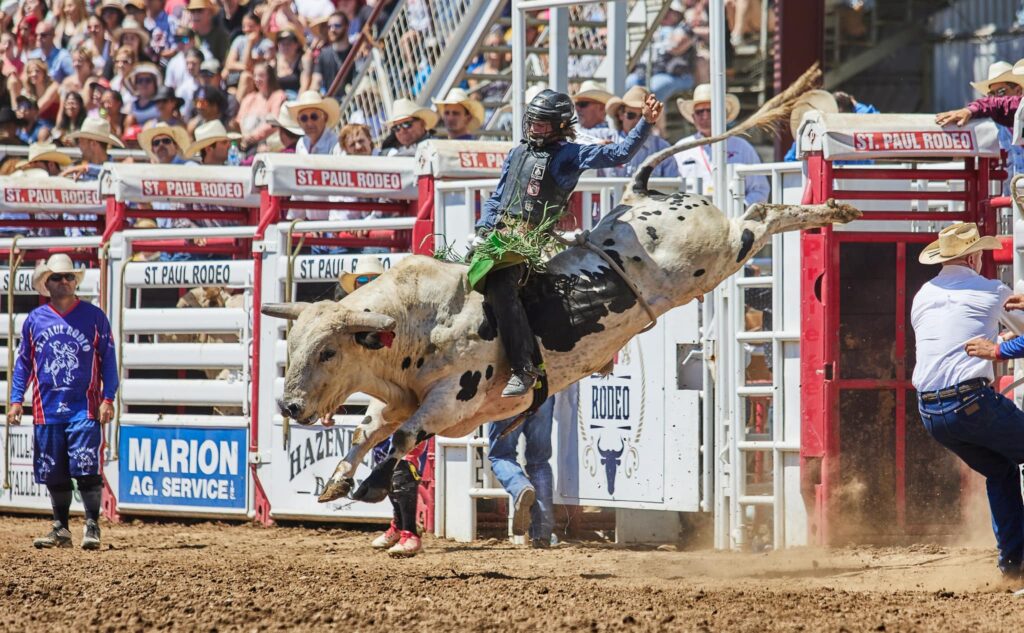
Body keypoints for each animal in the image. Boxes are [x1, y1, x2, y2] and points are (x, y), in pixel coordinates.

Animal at [260, 67, 860, 501]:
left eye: (329, 352)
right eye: (293, 344)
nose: (287, 406)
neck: (419, 319)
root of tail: (643, 194)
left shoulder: (449, 402)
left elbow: (405, 438)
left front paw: (370, 487)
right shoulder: (397, 400)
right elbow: (368, 430)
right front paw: (337, 481)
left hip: (722, 251)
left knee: (762, 214)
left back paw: (833, 208)